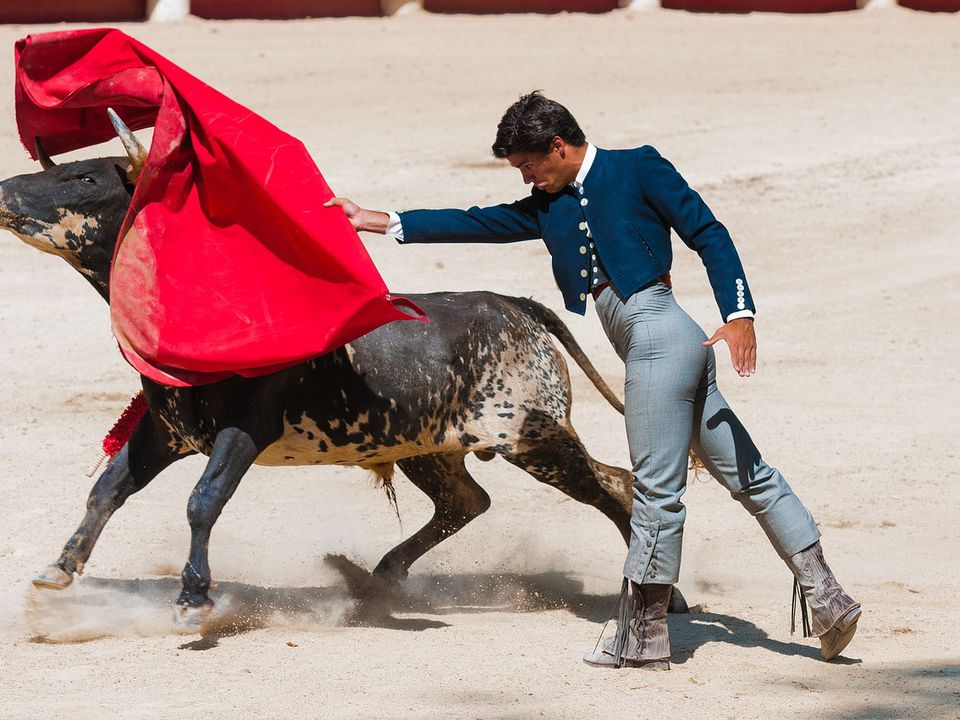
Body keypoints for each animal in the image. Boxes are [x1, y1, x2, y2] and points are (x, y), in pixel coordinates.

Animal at [0, 115, 684, 628]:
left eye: (83, 175)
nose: (4, 190)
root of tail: (515, 305)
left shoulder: (241, 432)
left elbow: (202, 500)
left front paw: (193, 600)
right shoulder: (166, 431)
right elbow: (109, 488)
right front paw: (58, 570)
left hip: (533, 436)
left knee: (614, 485)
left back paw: (664, 597)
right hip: (427, 446)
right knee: (467, 500)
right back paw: (376, 579)